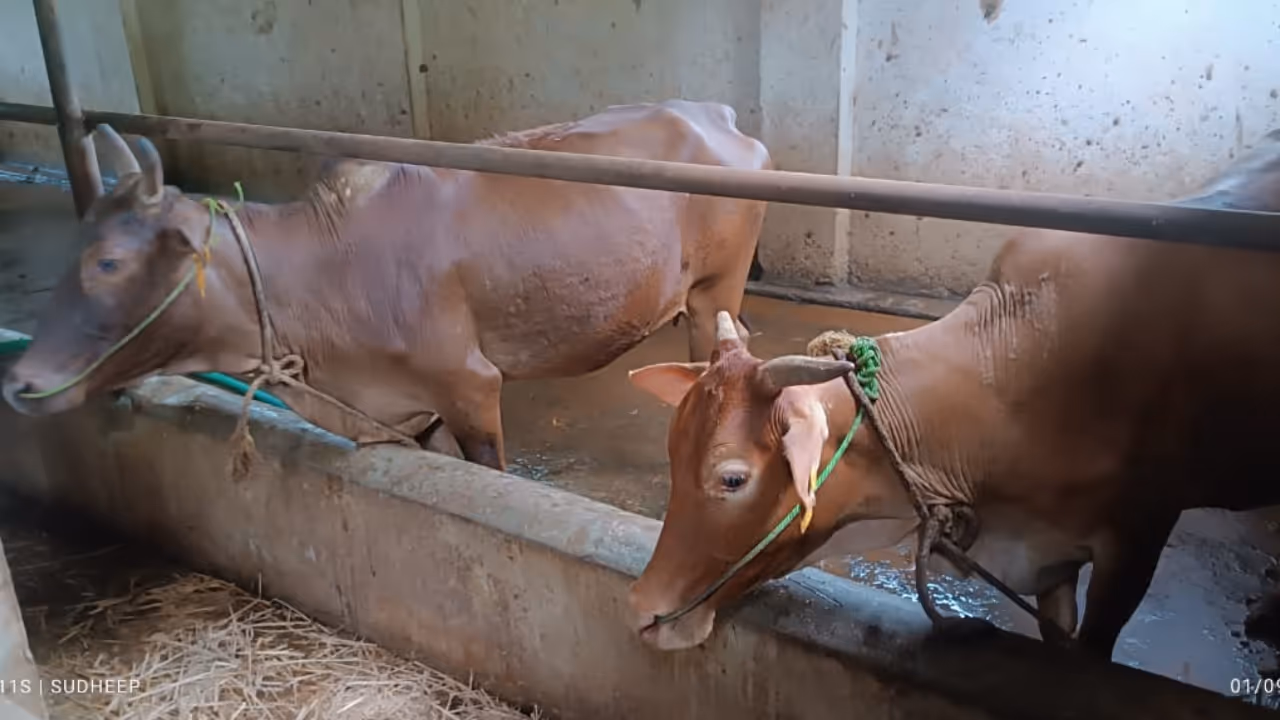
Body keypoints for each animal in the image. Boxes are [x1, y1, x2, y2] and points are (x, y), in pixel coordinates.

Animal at [2, 99, 769, 471]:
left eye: (108, 262)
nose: (20, 381)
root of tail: (716, 114)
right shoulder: (408, 412)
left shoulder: (470, 385)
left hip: (715, 289)